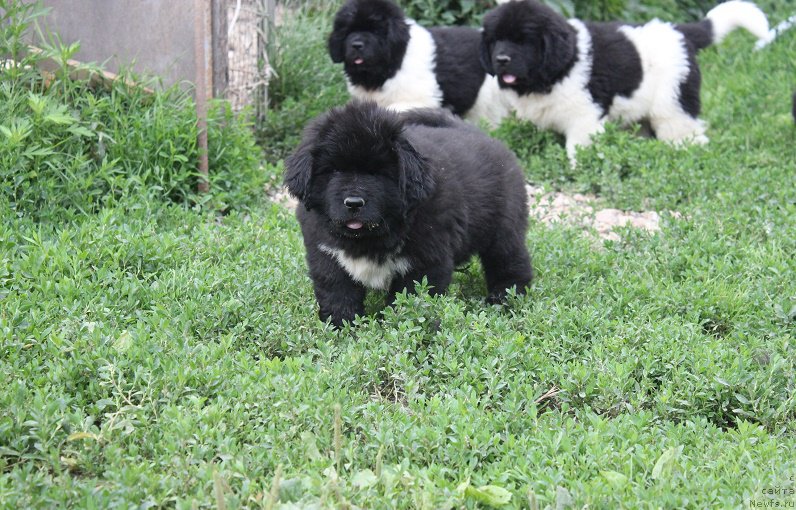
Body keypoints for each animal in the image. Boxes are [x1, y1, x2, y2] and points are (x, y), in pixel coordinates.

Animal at [282, 101, 532, 328]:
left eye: (377, 173)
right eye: (333, 170)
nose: (353, 203)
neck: (367, 239)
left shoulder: (426, 262)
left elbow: (412, 301)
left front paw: (403, 329)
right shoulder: (327, 255)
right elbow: (337, 295)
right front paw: (341, 328)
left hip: (503, 230)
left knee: (511, 263)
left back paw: (504, 300)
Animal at [482, 0, 768, 159]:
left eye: (523, 41)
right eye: (496, 40)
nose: (501, 59)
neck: (556, 70)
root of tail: (679, 30)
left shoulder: (585, 116)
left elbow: (579, 148)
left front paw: (579, 169)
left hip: (673, 100)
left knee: (685, 132)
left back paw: (684, 154)